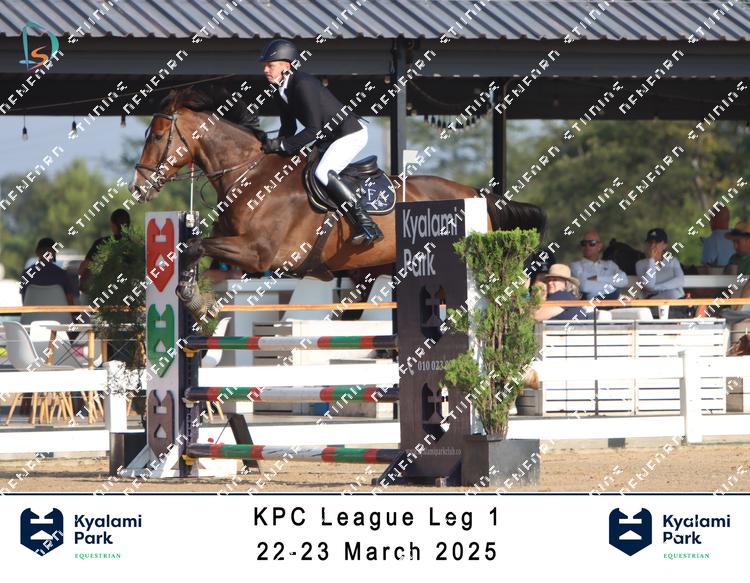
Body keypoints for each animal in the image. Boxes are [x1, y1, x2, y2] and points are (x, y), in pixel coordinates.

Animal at [130, 85, 547, 320]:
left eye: (159, 135)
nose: (138, 187)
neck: (251, 175)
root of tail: (476, 193)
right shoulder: (243, 255)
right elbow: (190, 248)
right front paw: (194, 297)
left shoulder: (260, 255)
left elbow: (195, 245)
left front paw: (193, 299)